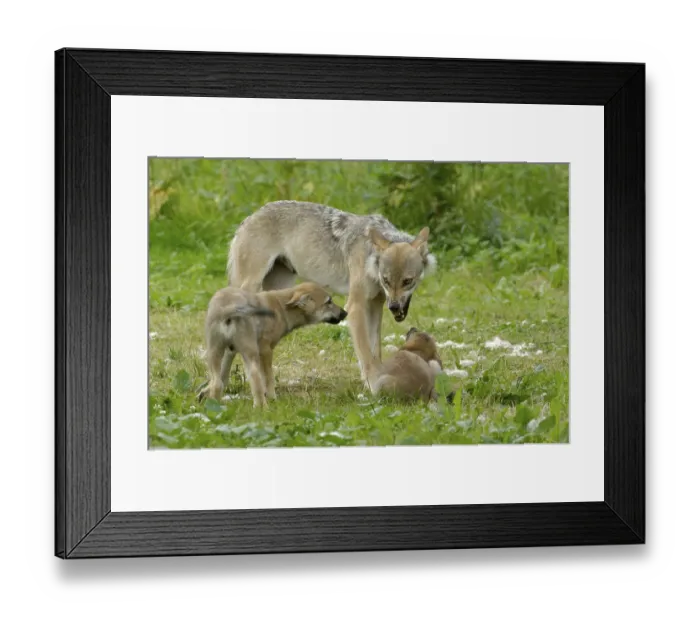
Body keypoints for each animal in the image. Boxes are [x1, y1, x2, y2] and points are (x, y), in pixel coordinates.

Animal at [226, 200, 437, 390]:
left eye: (407, 281)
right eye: (386, 280)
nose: (393, 306)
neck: (369, 256)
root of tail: (248, 218)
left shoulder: (375, 305)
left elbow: (375, 350)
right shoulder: (355, 307)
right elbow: (366, 354)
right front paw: (372, 383)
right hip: (251, 288)